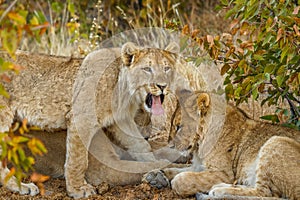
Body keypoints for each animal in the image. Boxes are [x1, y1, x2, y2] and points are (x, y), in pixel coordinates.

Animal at [0, 42, 195, 198]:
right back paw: (22, 187)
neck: (125, 93)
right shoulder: (82, 119)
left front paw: (154, 162)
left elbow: (140, 145)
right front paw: (78, 190)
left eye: (166, 68)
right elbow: (78, 160)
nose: (163, 86)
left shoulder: (121, 121)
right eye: (147, 69)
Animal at [144, 91, 300, 199]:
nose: (170, 145)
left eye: (178, 127)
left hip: (276, 142)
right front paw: (156, 175)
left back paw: (219, 190)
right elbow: (175, 168)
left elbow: (182, 179)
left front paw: (172, 181)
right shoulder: (199, 166)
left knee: (265, 193)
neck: (199, 145)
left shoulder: (224, 173)